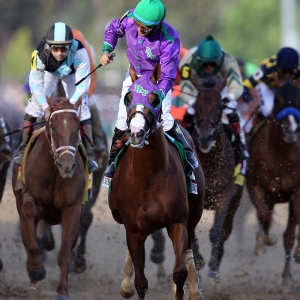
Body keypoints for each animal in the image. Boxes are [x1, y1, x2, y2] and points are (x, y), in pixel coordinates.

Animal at [12, 96, 85, 300]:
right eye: (53, 127)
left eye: (77, 127)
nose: (67, 166)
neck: (54, 173)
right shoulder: (31, 202)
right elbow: (31, 241)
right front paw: (37, 270)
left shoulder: (73, 209)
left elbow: (65, 252)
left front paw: (62, 292)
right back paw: (32, 285)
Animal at [108, 63, 206, 300]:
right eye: (128, 97)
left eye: (155, 99)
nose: (136, 132)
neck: (148, 177)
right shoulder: (134, 229)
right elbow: (141, 282)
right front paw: (129, 284)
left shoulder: (177, 222)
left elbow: (179, 272)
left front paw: (183, 288)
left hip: (193, 214)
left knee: (189, 246)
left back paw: (195, 288)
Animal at [191, 78, 245, 282]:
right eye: (196, 107)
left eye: (219, 107)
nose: (205, 138)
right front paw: (198, 261)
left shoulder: (225, 193)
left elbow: (216, 232)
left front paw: (213, 267)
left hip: (235, 202)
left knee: (225, 230)